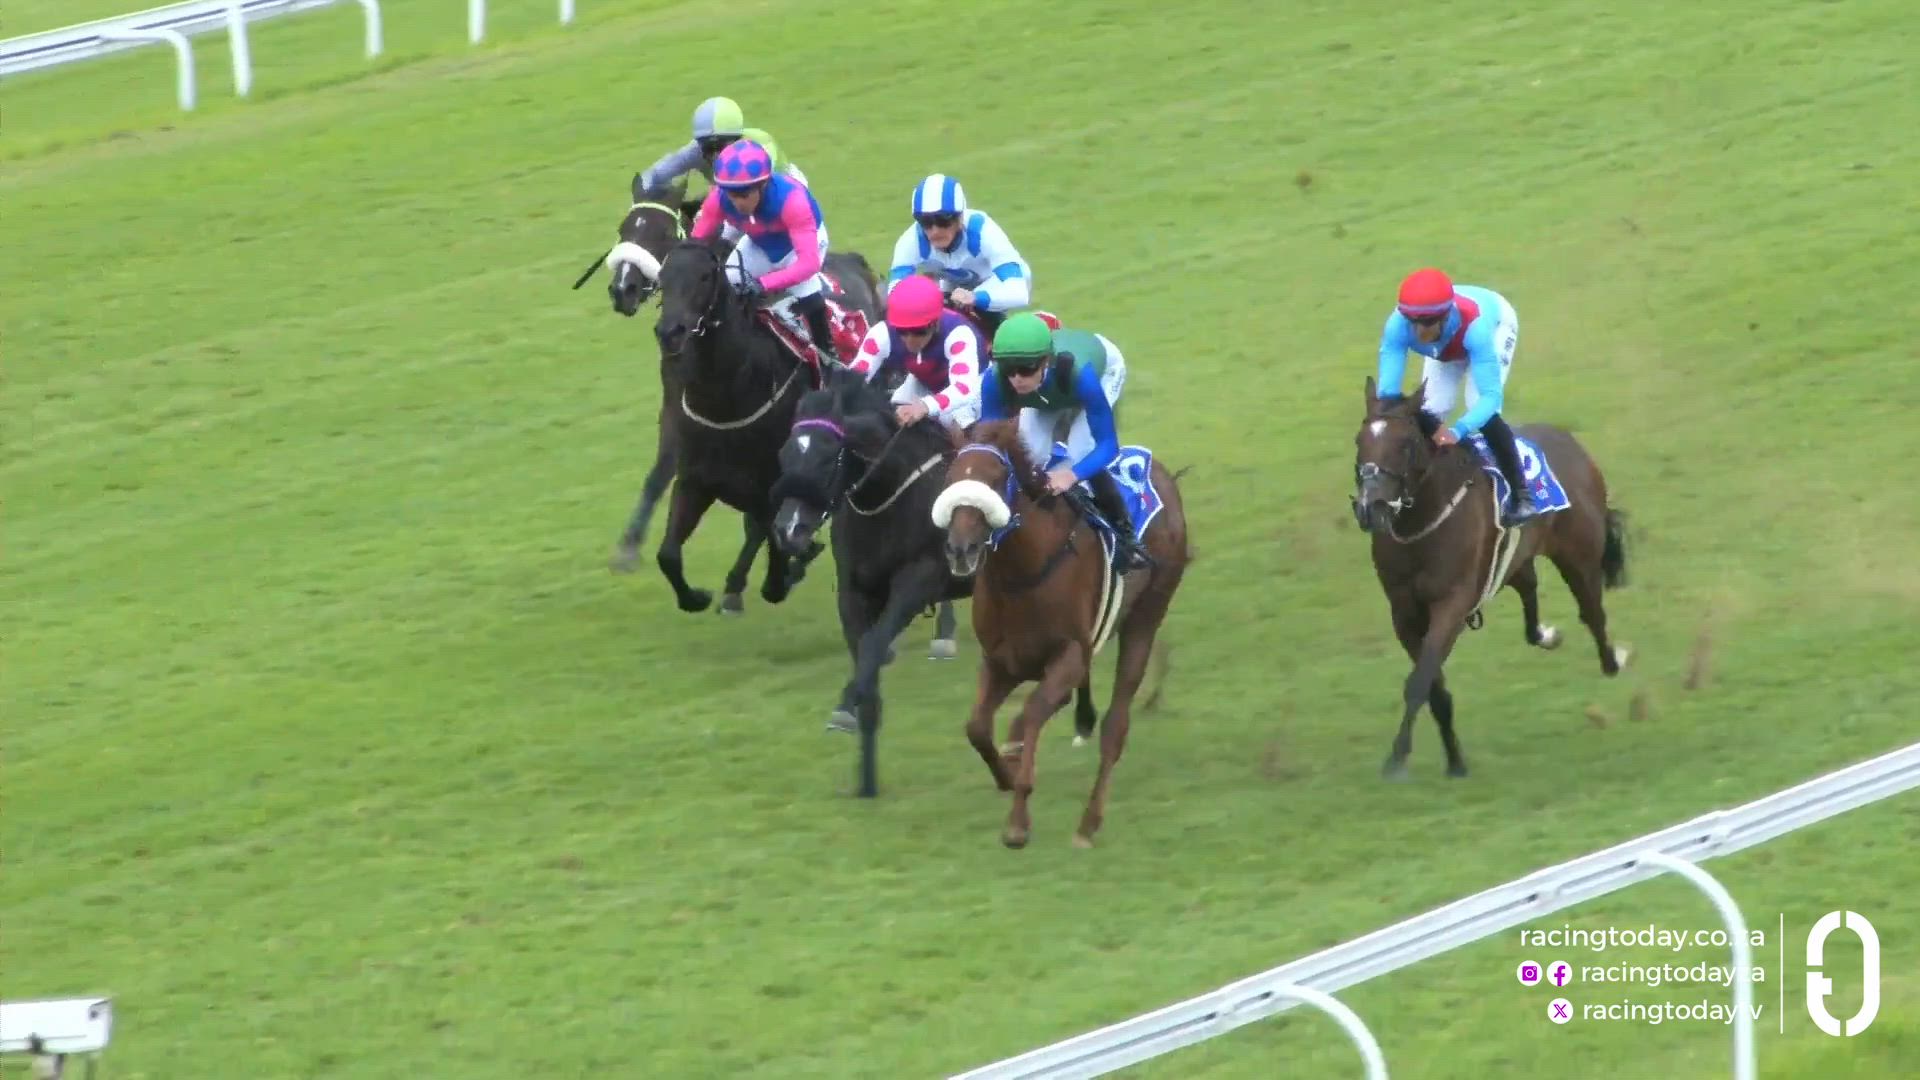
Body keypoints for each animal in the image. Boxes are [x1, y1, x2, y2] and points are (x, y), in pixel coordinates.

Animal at [770, 373, 1092, 798]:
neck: (888, 499)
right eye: (784, 455)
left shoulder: (917, 581)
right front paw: (864, 767)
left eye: (827, 456)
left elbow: (873, 646)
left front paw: (850, 704)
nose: (788, 530)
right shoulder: (855, 591)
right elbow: (865, 653)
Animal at [931, 418, 1192, 848]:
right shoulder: (1001, 661)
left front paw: (1018, 820)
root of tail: (1162, 474)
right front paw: (1006, 774)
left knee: (1115, 726)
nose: (960, 549)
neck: (1021, 573)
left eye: (997, 477)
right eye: (951, 478)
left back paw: (1088, 824)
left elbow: (1035, 711)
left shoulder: (1067, 656)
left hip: (1147, 614)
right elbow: (977, 727)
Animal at [1351, 376, 1632, 780]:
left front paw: (1397, 757)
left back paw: (1614, 661)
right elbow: (1434, 686)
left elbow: (1420, 681)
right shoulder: (1404, 614)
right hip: (1516, 559)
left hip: (1579, 556)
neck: (1422, 526)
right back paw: (1546, 635)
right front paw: (1455, 760)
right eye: (1359, 442)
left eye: (1405, 445)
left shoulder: (1451, 606)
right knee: (1529, 588)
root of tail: (1572, 444)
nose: (1370, 508)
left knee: (1593, 613)